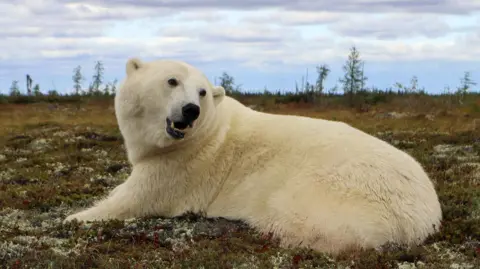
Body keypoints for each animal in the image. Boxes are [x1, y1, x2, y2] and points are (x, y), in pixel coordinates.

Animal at [64, 57, 442, 254]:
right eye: (171, 81)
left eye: (202, 91)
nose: (190, 110)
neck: (209, 130)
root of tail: (425, 216)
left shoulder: (183, 164)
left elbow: (134, 198)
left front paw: (75, 216)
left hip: (335, 191)